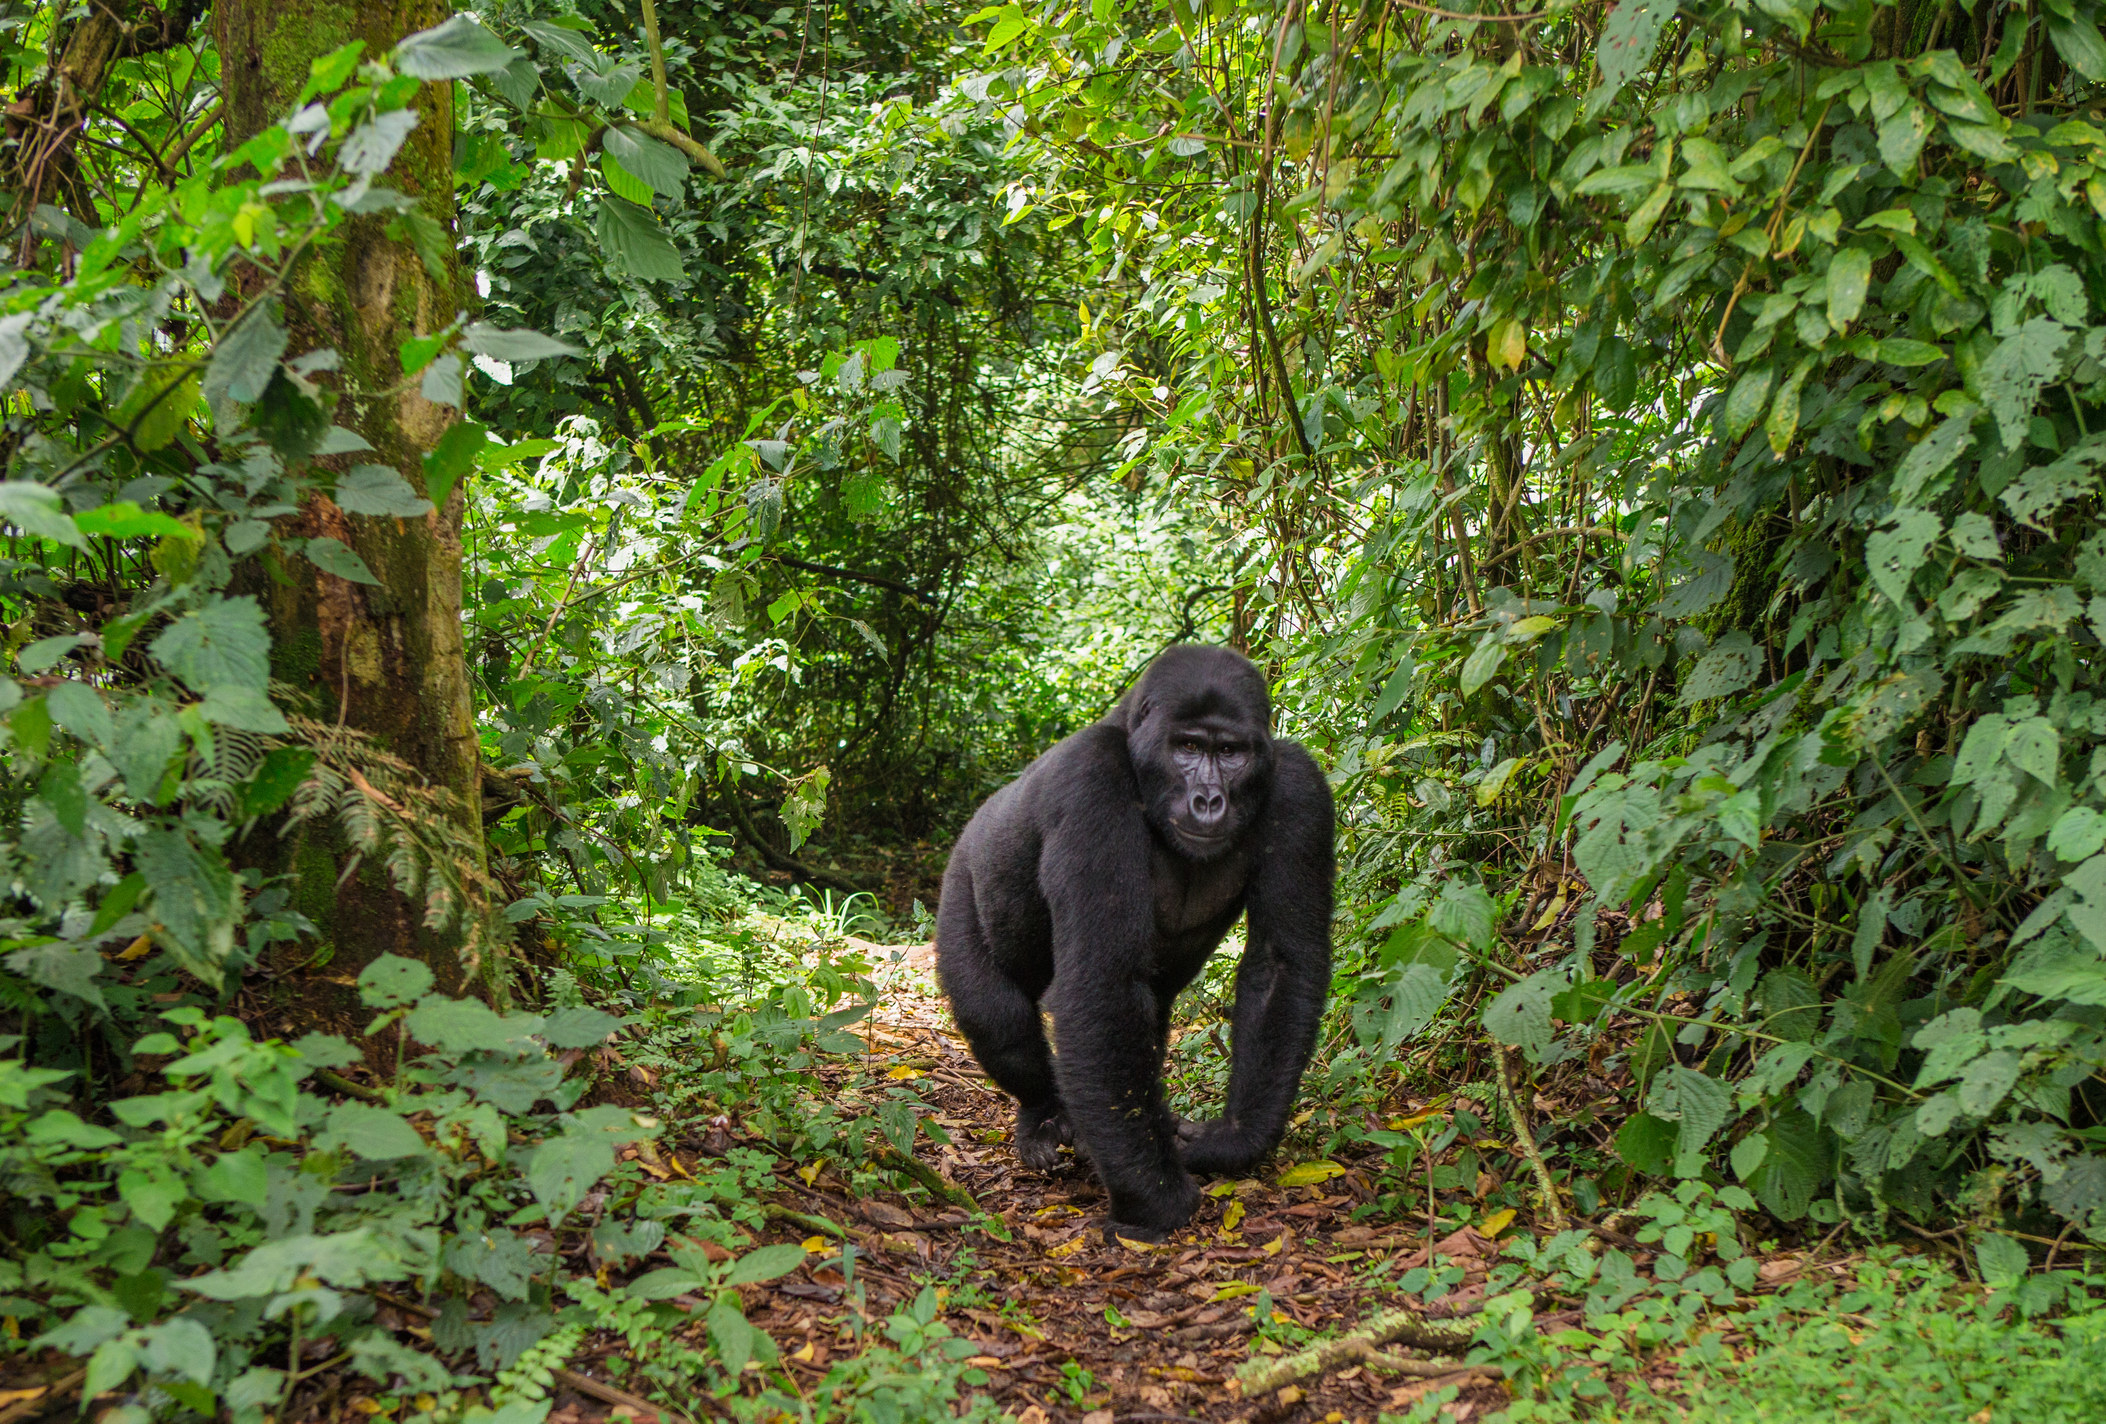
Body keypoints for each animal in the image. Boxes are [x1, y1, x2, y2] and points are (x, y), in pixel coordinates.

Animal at [939, 644, 1330, 1238]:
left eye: (1231, 752)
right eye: (1187, 747)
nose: (1209, 800)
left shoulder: (1299, 787)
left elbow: (1281, 966)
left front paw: (1231, 1139)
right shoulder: (1090, 780)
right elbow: (1100, 982)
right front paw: (1155, 1198)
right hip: (962, 876)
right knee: (996, 1015)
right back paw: (1043, 1115)